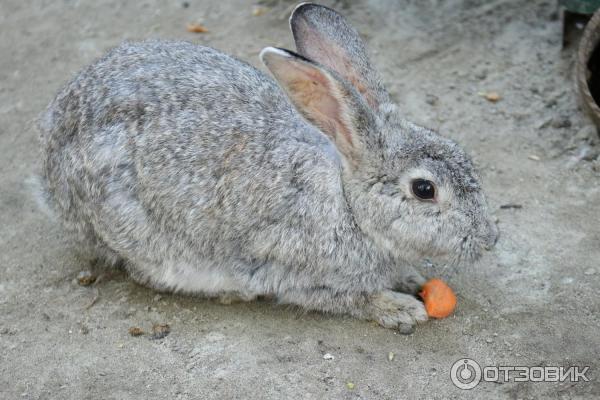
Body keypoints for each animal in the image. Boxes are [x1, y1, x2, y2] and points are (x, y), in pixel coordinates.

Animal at [35, 3, 500, 332]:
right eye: (424, 189)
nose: (490, 239)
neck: (349, 205)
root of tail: (48, 165)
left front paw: (411, 280)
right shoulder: (296, 273)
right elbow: (348, 298)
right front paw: (401, 310)